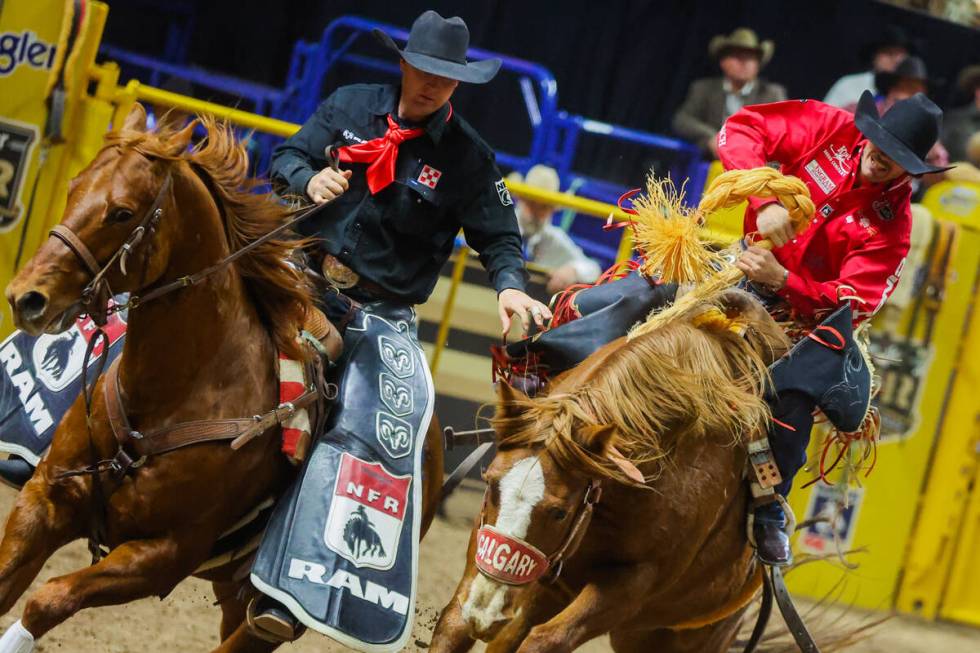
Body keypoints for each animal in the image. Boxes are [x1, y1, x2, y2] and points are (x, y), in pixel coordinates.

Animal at [0, 104, 444, 648]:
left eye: (122, 212)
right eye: (74, 185)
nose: (27, 297)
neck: (173, 395)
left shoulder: (161, 555)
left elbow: (47, 599)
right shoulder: (44, 500)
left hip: (263, 615)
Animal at [432, 292, 792, 652]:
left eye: (560, 512)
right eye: (490, 483)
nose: (485, 611)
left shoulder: (634, 584)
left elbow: (547, 639)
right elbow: (453, 624)